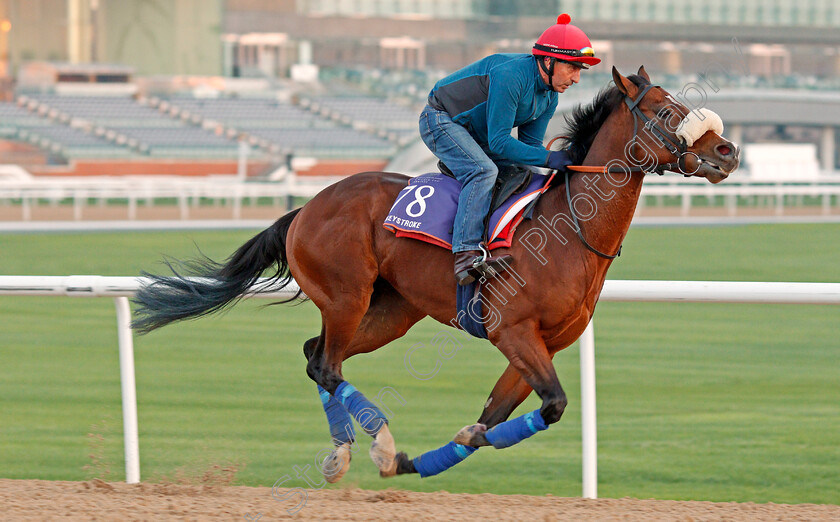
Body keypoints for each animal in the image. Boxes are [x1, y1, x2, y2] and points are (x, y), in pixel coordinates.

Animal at [133, 67, 740, 482]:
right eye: (666, 111)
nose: (728, 151)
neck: (570, 227)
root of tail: (304, 208)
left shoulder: (541, 343)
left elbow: (494, 420)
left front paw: (417, 462)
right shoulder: (512, 330)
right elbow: (553, 405)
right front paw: (399, 454)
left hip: (390, 312)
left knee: (315, 356)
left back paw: (343, 452)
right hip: (347, 296)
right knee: (326, 365)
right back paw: (375, 441)